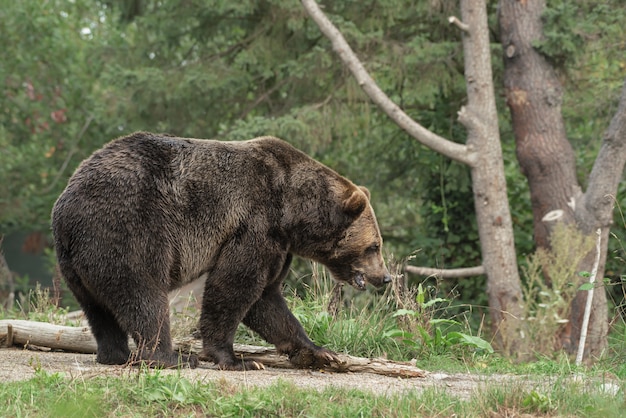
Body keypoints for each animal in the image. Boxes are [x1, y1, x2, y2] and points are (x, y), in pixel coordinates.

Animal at [52, 131, 390, 370]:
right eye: (374, 246)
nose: (385, 277)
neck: (293, 212)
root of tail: (67, 205)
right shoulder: (255, 222)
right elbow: (235, 286)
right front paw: (236, 359)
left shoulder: (279, 244)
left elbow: (266, 299)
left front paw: (321, 353)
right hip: (129, 228)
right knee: (143, 294)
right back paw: (169, 357)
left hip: (76, 261)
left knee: (98, 309)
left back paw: (115, 354)